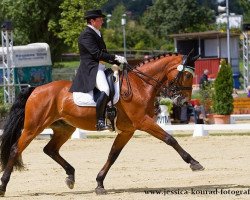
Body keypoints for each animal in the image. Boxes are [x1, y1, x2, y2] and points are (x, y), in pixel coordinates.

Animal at [0, 52, 203, 196]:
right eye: (187, 75)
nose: (184, 101)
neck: (141, 85)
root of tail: (35, 89)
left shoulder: (128, 130)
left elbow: (113, 155)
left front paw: (99, 183)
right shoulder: (143, 122)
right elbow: (170, 139)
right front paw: (194, 163)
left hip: (65, 128)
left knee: (50, 149)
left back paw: (70, 175)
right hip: (33, 127)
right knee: (16, 149)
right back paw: (3, 186)